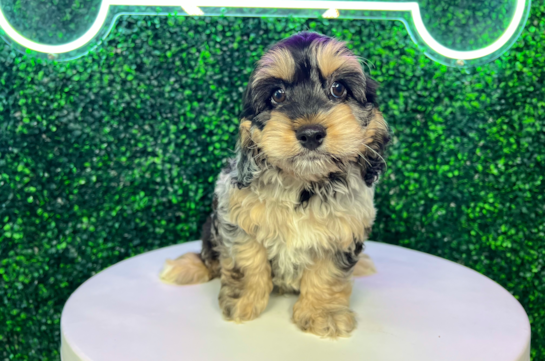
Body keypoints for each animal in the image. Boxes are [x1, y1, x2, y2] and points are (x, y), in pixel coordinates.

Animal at [159, 31, 388, 338]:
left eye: (338, 89)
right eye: (277, 95)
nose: (311, 133)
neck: (302, 183)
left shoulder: (344, 232)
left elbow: (328, 274)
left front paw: (324, 314)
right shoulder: (235, 218)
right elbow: (247, 261)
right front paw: (243, 302)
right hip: (210, 227)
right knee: (209, 256)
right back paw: (186, 267)